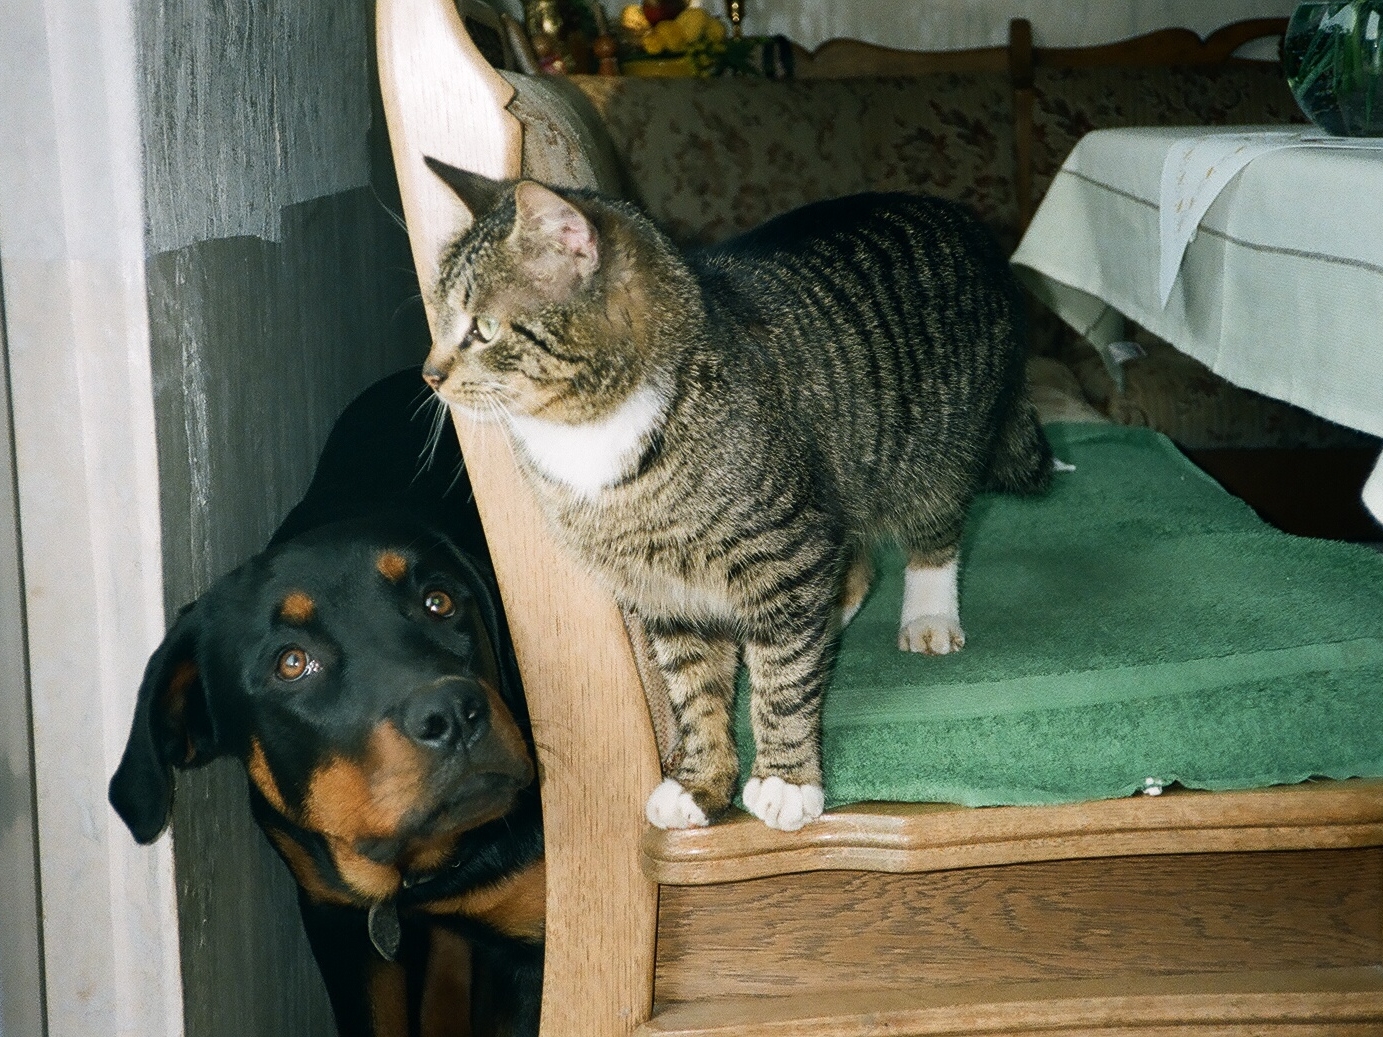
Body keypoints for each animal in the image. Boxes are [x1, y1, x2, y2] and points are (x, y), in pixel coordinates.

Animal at [420, 162, 1045, 840]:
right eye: (439, 322)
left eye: (481, 329)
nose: (429, 374)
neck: (596, 443)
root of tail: (960, 217)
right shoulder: (665, 593)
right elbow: (694, 693)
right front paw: (701, 783)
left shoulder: (787, 549)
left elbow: (784, 683)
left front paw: (786, 780)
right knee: (851, 568)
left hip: (936, 450)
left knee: (934, 532)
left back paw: (926, 616)